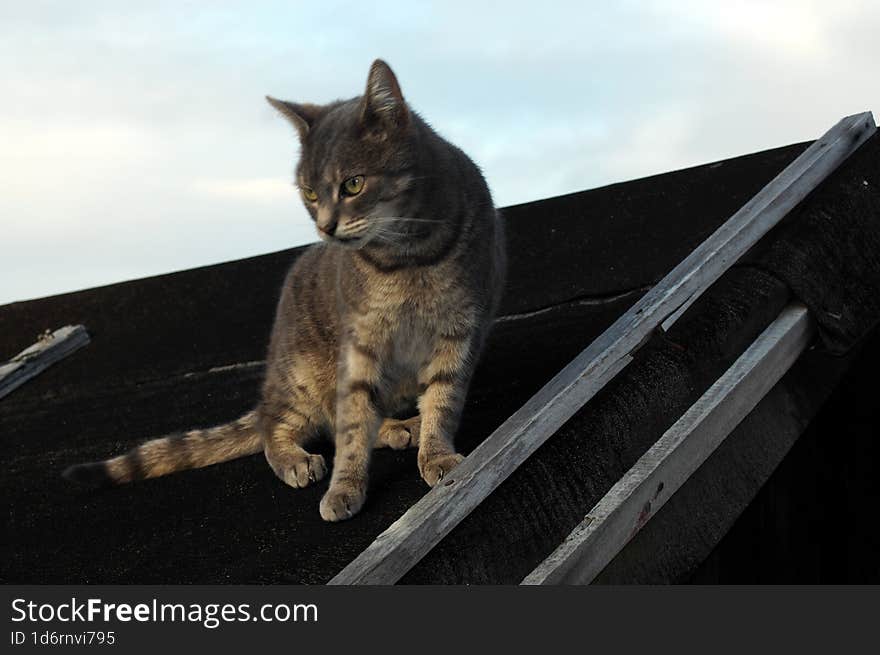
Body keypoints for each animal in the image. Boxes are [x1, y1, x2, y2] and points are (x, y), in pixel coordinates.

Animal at [63, 60, 508, 524]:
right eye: (310, 193)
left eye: (353, 185)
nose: (325, 226)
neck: (406, 256)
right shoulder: (361, 343)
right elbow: (352, 426)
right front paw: (345, 486)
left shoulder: (460, 329)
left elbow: (442, 399)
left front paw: (437, 455)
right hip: (302, 377)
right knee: (282, 426)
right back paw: (305, 455)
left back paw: (404, 427)